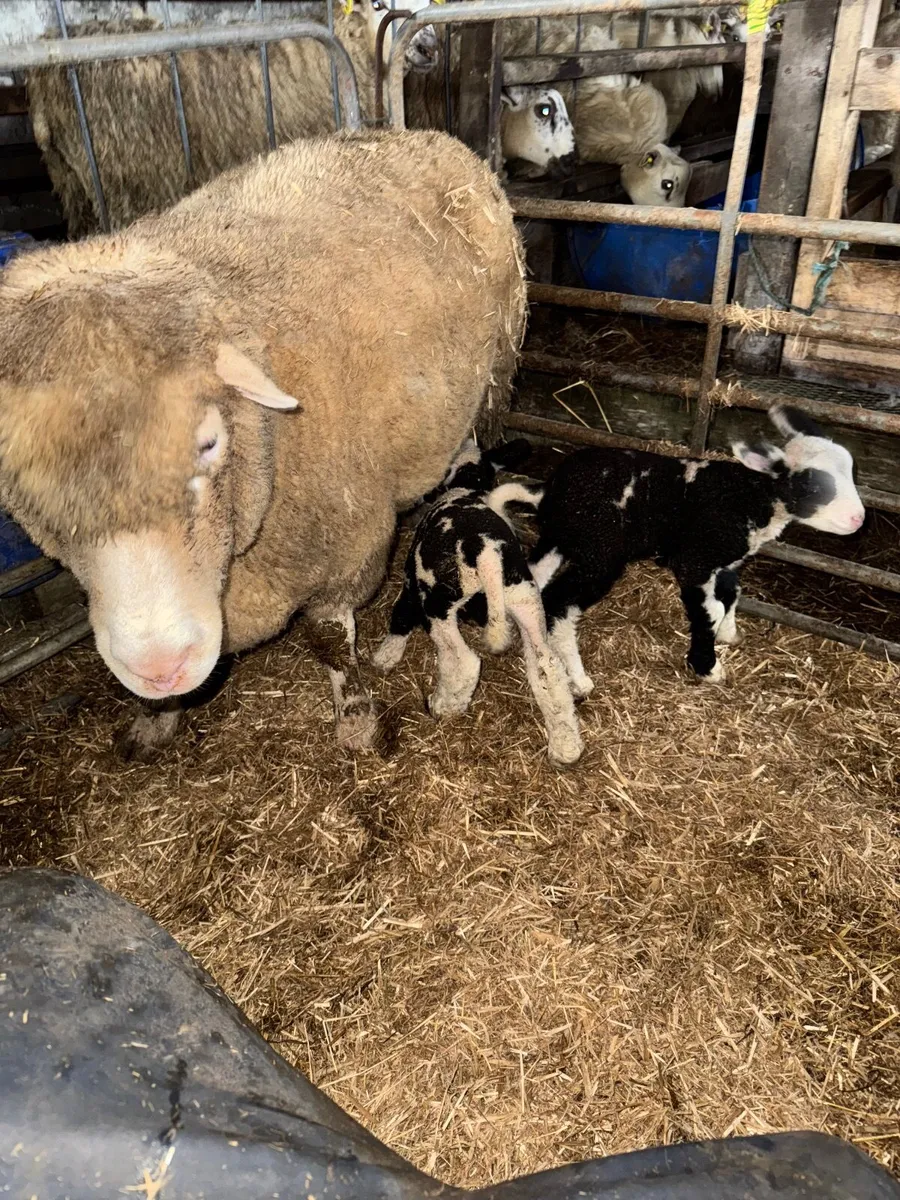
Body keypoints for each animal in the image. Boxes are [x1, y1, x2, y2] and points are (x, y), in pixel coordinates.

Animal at [0, 128, 526, 758]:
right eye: (16, 474)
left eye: (208, 443)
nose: (159, 666)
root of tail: (421, 135)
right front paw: (155, 719)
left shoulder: (345, 549)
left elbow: (329, 640)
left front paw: (356, 720)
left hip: (497, 380)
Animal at [372, 439, 583, 766]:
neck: (466, 486)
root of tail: (484, 551)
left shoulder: (411, 582)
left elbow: (401, 614)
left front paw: (385, 656)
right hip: (525, 599)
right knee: (548, 668)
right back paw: (566, 745)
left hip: (438, 604)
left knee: (464, 661)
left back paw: (443, 705)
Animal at [528, 405, 865, 695]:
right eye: (814, 486)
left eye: (850, 470)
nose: (859, 519)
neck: (750, 497)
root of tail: (555, 486)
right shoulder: (694, 561)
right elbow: (710, 611)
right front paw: (707, 666)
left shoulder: (726, 561)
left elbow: (730, 595)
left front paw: (729, 634)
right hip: (599, 553)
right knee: (559, 602)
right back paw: (577, 678)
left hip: (562, 538)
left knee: (536, 578)